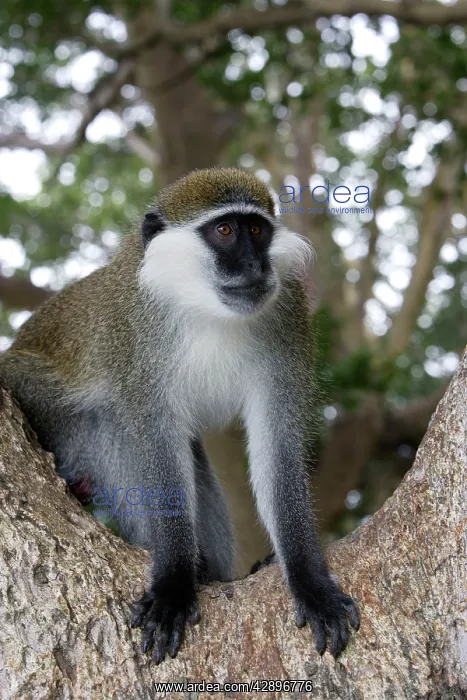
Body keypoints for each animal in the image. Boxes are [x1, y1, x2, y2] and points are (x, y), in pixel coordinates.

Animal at [0, 167, 359, 664]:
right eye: (224, 231)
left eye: (256, 231)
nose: (255, 268)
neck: (202, 305)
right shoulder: (136, 339)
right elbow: (157, 448)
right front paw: (173, 585)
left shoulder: (286, 317)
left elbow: (278, 452)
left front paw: (309, 582)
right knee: (112, 427)